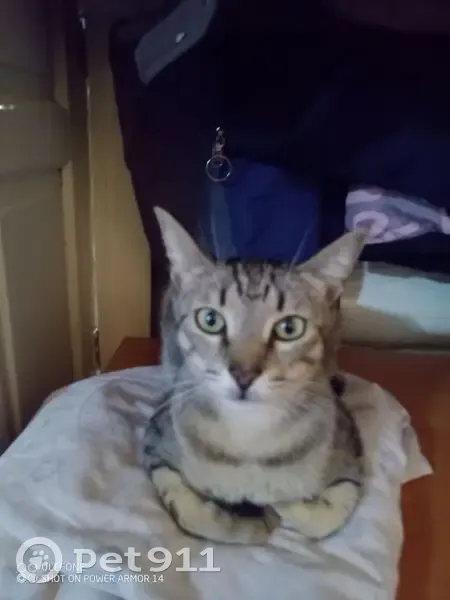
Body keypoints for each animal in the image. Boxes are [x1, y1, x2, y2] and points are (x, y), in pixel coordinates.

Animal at [141, 207, 367, 545]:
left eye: (289, 328)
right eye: (210, 320)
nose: (243, 375)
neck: (249, 437)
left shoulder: (351, 457)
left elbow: (322, 516)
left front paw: (277, 503)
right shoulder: (155, 448)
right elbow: (194, 514)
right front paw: (248, 518)